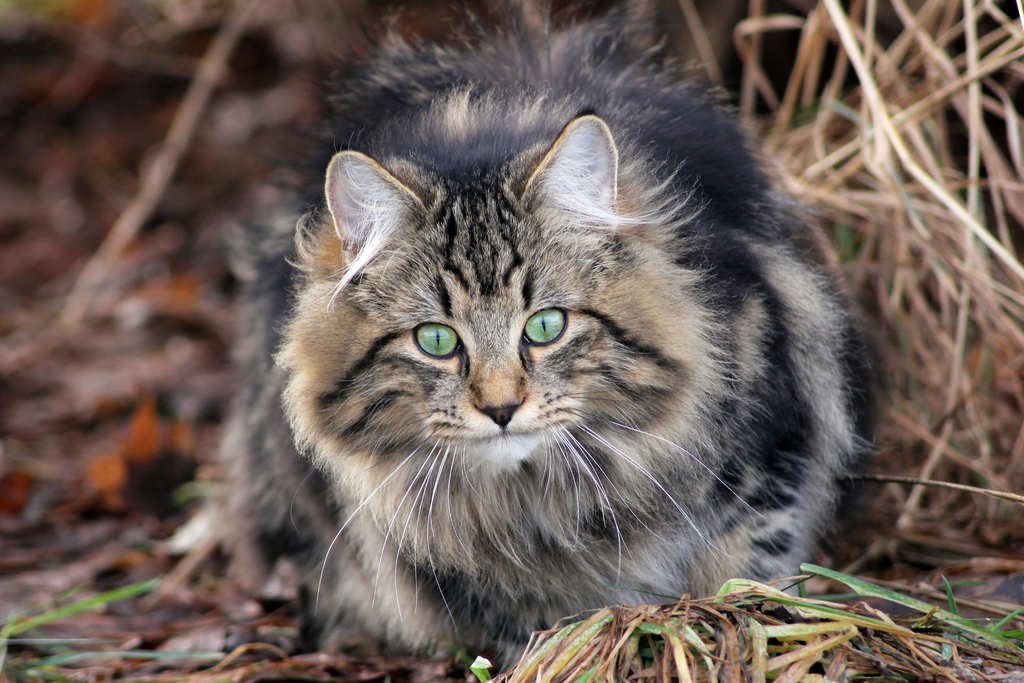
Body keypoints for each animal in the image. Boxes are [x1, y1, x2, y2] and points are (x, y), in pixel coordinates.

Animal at [220, 2, 876, 663]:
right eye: (436, 340)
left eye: (545, 326)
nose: (501, 409)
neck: (546, 505)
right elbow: (522, 627)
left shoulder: (774, 445)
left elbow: (749, 570)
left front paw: (742, 627)